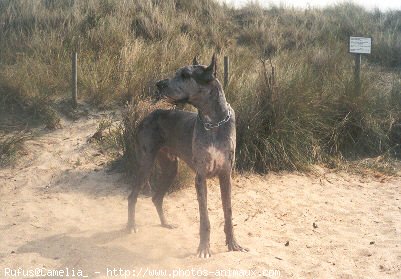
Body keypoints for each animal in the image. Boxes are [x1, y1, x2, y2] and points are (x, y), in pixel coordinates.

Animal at [127, 54, 247, 258]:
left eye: (185, 75)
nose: (159, 84)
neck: (214, 123)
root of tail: (147, 115)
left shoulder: (225, 175)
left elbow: (228, 212)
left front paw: (233, 243)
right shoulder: (200, 177)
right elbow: (204, 217)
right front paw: (204, 248)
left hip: (170, 168)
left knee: (156, 198)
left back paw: (165, 223)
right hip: (146, 163)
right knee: (132, 196)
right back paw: (131, 226)